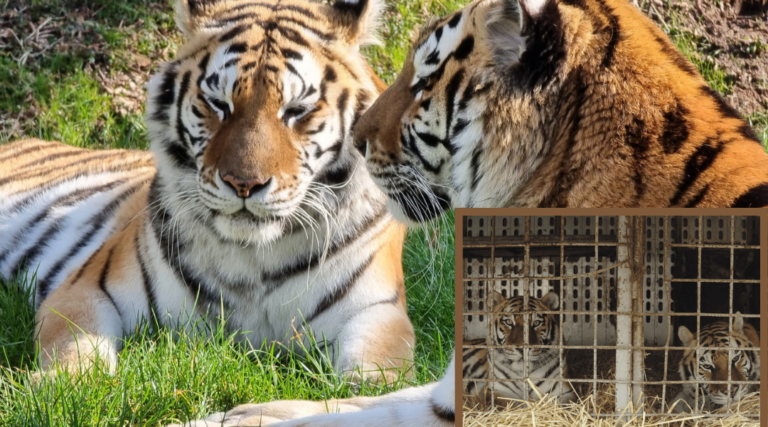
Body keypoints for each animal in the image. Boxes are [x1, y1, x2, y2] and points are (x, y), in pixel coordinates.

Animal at [0, 0, 417, 385]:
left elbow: (376, 379)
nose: (244, 184)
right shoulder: (84, 288)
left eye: (297, 110)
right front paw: (55, 386)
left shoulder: (377, 311)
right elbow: (77, 354)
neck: (255, 257)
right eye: (218, 104)